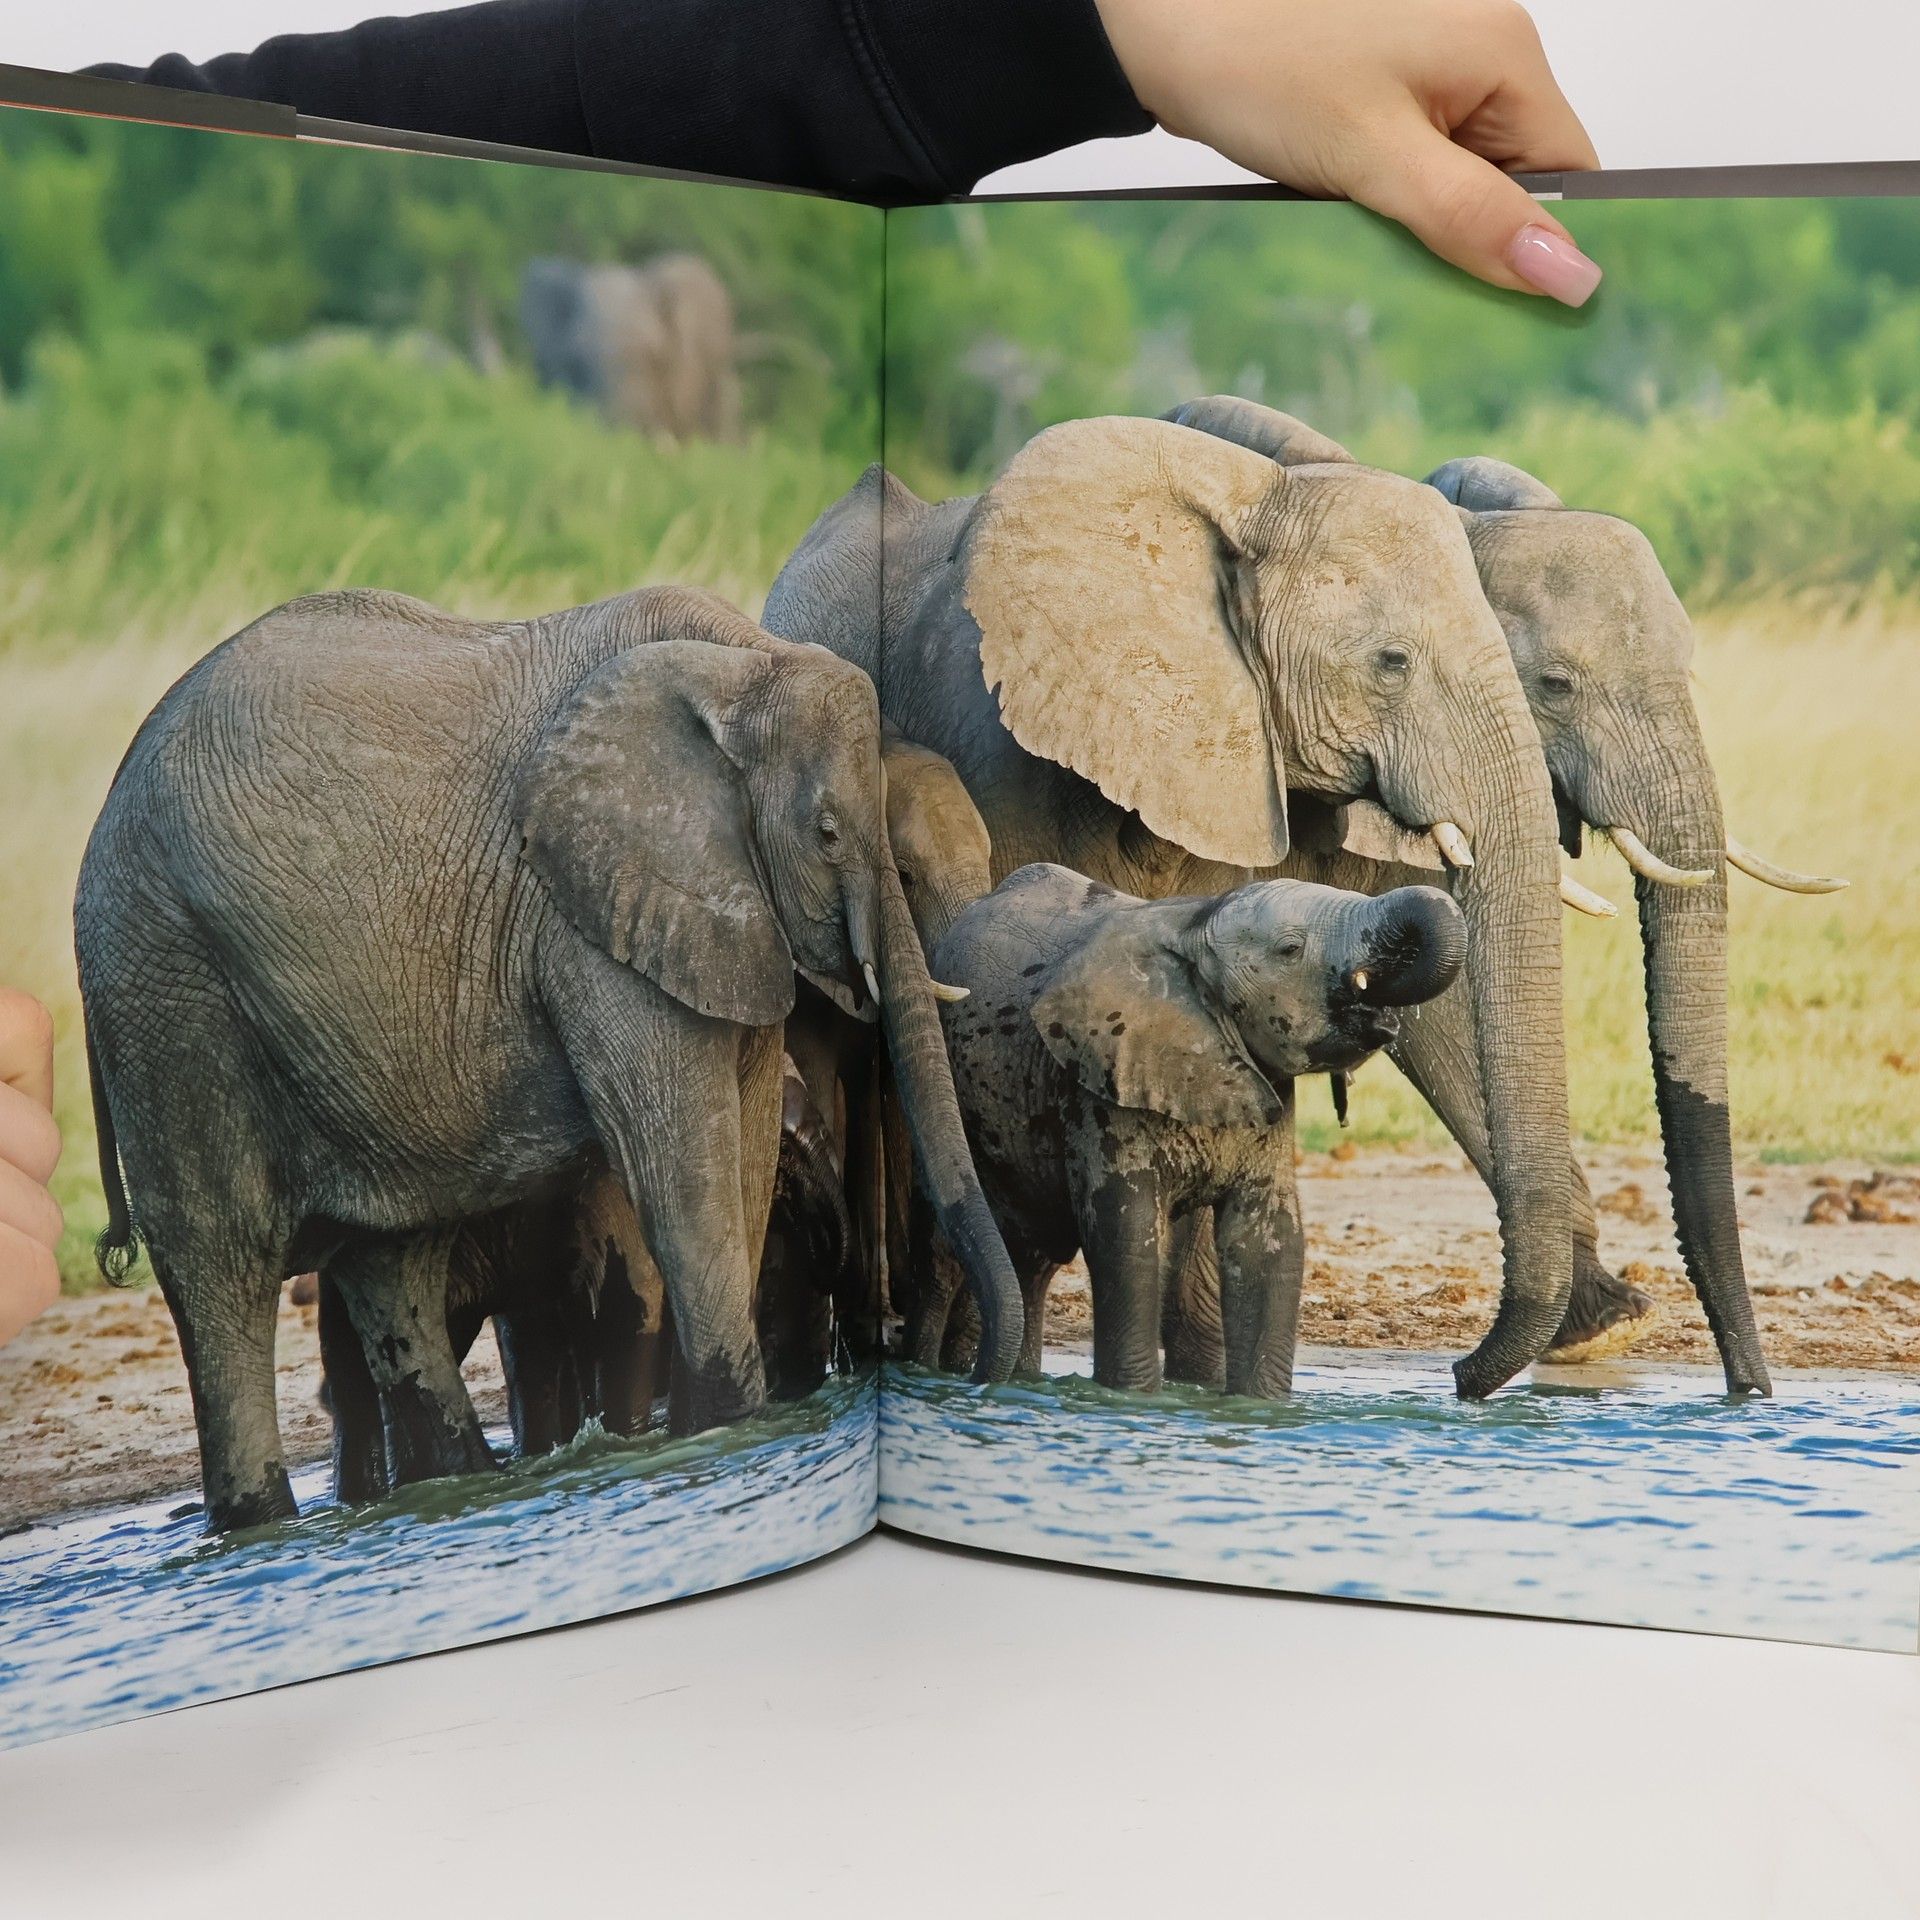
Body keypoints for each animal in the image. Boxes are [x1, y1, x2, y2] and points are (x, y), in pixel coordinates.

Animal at [77, 583, 1022, 1530]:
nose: (978, 1377)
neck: (743, 662)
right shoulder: (589, 920)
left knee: (392, 1264)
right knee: (223, 1265)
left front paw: (717, 1434)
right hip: (165, 988)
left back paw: (462, 1485)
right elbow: (682, 1169)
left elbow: (747, 1152)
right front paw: (727, 1434)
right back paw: (261, 1524)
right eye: (826, 833)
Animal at [921, 866, 1465, 1391]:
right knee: (1018, 1251)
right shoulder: (1100, 1089)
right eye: (1291, 949)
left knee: (1031, 1263)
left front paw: (1260, 1407)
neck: (1196, 925)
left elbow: (1269, 1243)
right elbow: (1128, 1238)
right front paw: (1130, 1399)